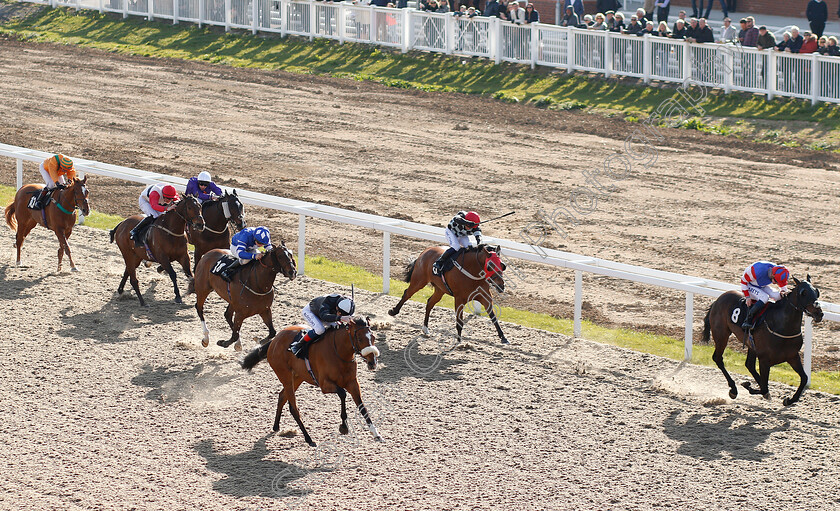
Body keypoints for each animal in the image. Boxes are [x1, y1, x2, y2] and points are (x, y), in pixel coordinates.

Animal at [240, 320, 384, 448]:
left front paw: (376, 434)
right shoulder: (325, 385)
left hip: (297, 377)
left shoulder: (353, 383)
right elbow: (342, 393)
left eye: (373, 337)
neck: (339, 353)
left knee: (282, 396)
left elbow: (362, 407)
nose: (372, 363)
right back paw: (308, 438)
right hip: (285, 376)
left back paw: (276, 426)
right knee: (293, 408)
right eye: (359, 339)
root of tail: (275, 340)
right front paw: (343, 427)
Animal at [704, 276, 820, 408]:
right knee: (718, 358)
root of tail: (718, 299)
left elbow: (804, 378)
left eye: (817, 292)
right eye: (803, 293)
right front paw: (748, 386)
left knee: (749, 365)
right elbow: (764, 387)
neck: (783, 326)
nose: (819, 313)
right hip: (721, 335)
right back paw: (733, 389)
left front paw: (789, 400)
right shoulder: (764, 359)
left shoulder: (792, 356)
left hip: (751, 345)